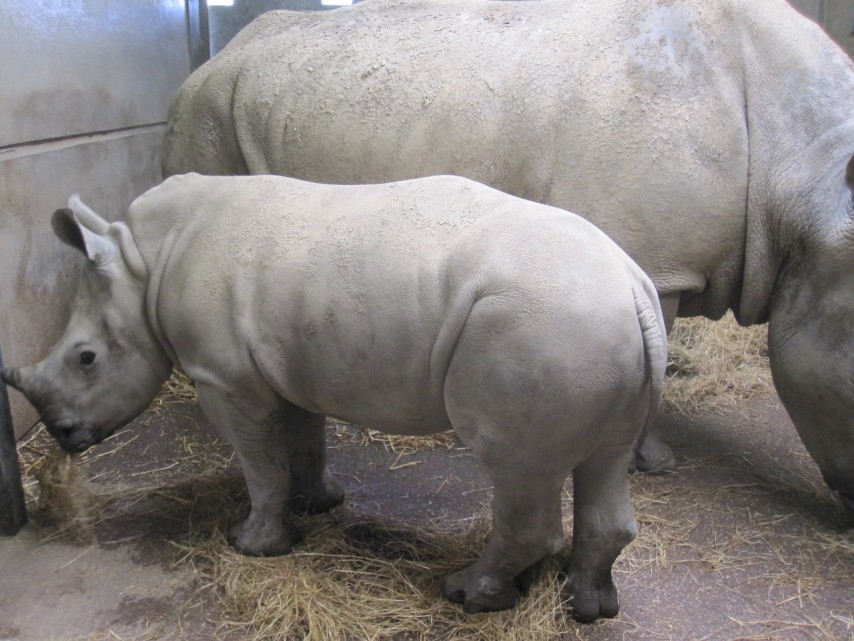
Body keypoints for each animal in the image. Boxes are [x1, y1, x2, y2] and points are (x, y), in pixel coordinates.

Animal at [3, 173, 665, 620]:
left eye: (85, 359)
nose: (63, 435)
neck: (143, 263)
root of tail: (634, 285)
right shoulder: (287, 362)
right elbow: (300, 439)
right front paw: (317, 505)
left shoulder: (223, 377)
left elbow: (259, 463)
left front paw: (252, 545)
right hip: (588, 330)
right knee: (603, 460)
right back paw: (589, 607)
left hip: (543, 326)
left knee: (515, 467)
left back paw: (467, 594)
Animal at [161, 0, 854, 516]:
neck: (805, 177)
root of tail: (214, 56)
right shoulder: (649, 261)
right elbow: (656, 335)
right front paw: (651, 462)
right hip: (204, 108)